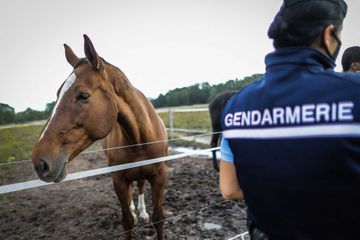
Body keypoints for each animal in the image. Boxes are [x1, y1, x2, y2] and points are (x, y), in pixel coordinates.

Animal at [31, 34, 169, 239]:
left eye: (82, 95)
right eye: (57, 94)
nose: (40, 163)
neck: (138, 139)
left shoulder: (160, 176)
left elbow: (158, 218)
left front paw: (146, 214)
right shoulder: (118, 179)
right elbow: (127, 221)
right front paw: (132, 214)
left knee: (141, 185)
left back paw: (142, 212)